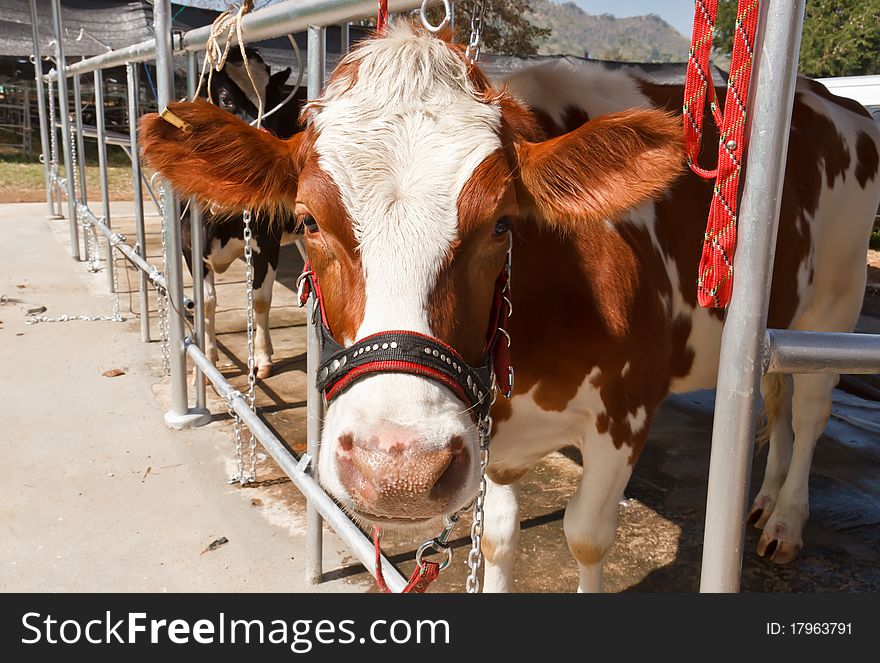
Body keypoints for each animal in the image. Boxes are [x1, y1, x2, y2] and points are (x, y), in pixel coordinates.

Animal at [139, 24, 880, 592]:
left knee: (811, 408)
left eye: (501, 223)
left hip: (836, 303)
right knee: (777, 399)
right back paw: (764, 498)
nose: (396, 470)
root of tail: (828, 95)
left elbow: (586, 537)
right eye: (307, 220)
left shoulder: (628, 407)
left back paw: (785, 520)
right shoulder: (493, 431)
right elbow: (495, 536)